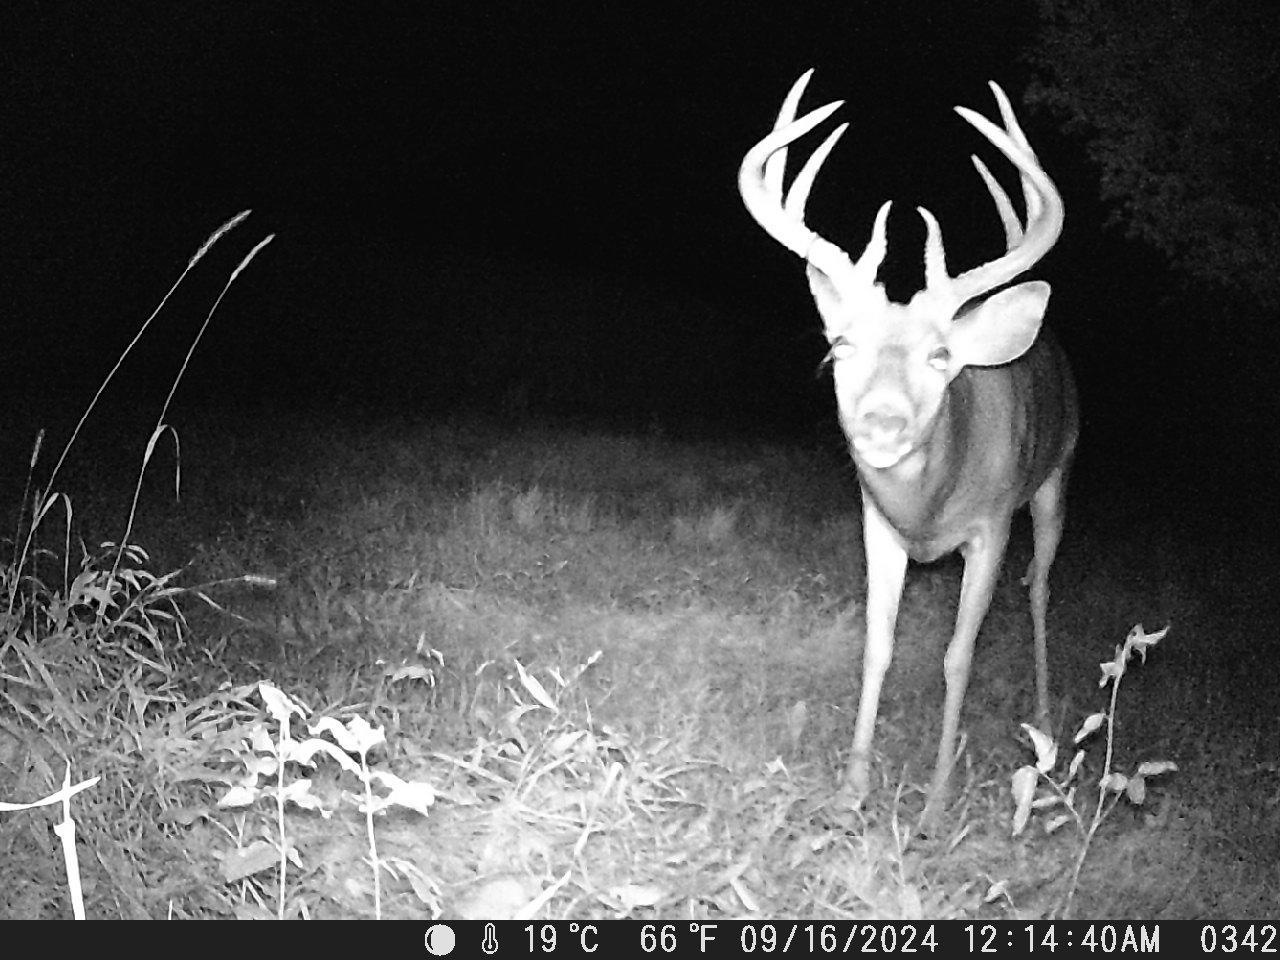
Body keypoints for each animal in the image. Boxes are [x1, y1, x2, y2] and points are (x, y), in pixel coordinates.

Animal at [739, 71, 1079, 827]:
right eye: (840, 345)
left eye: (940, 355)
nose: (883, 423)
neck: (929, 510)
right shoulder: (878, 525)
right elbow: (878, 643)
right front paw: (851, 790)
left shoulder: (990, 526)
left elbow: (958, 655)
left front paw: (935, 804)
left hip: (1056, 478)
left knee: (1040, 586)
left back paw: (1044, 723)